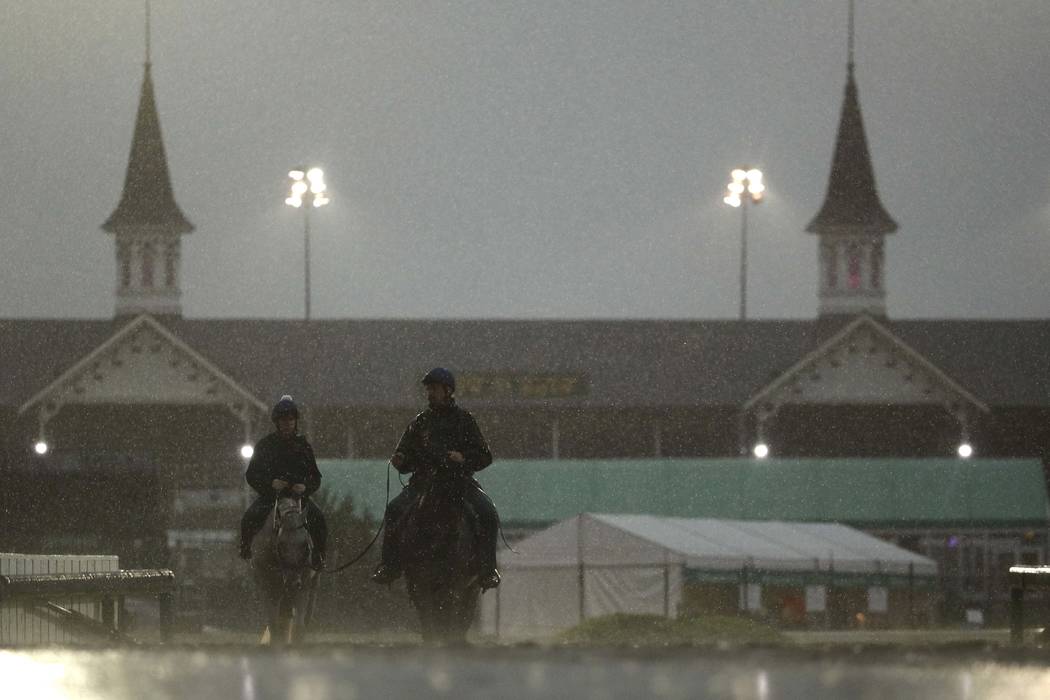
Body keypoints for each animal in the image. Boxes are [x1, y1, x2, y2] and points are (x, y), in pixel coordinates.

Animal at [247, 493, 317, 646]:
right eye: (281, 545)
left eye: (305, 546)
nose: (292, 582)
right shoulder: (267, 588)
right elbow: (274, 627)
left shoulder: (303, 587)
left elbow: (298, 627)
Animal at [398, 470, 480, 646]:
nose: (454, 535)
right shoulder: (419, 579)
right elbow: (427, 612)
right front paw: (432, 639)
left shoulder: (455, 581)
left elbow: (449, 611)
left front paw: (447, 637)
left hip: (472, 587)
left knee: (464, 614)